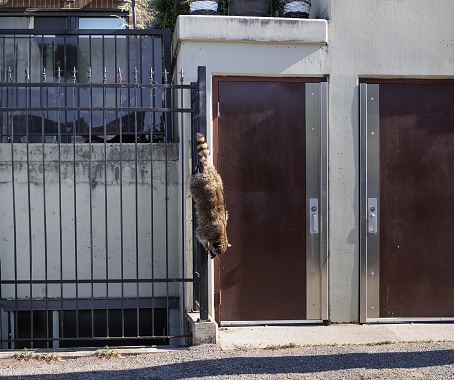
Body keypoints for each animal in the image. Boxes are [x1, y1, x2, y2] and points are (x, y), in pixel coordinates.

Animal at [190, 132, 231, 260]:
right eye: (214, 252)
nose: (212, 257)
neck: (222, 235)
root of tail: (211, 172)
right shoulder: (207, 231)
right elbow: (200, 236)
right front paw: (205, 246)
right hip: (198, 184)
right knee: (193, 181)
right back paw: (194, 172)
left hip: (218, 180)